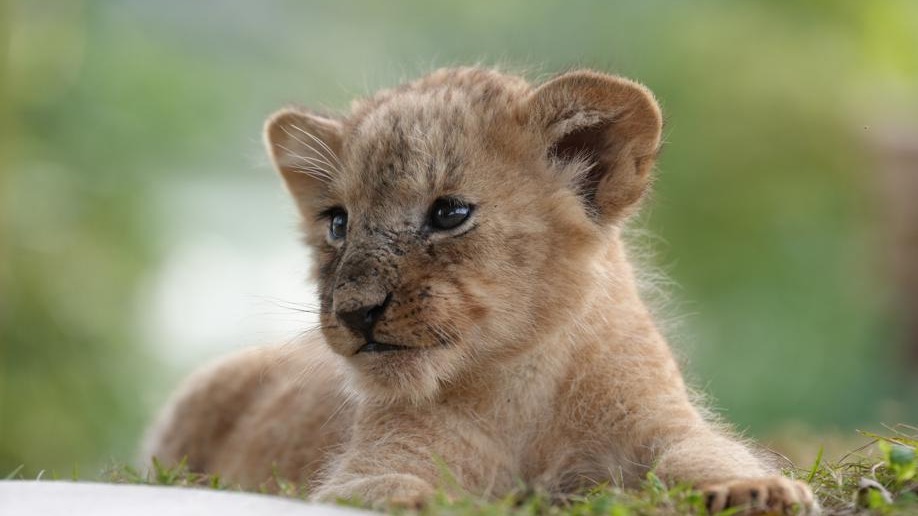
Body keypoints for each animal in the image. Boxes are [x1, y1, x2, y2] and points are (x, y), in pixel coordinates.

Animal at [143, 67, 817, 513]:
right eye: (337, 223)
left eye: (449, 213)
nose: (356, 313)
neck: (517, 382)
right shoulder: (368, 466)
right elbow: (390, 489)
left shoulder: (661, 423)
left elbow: (705, 455)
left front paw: (757, 491)